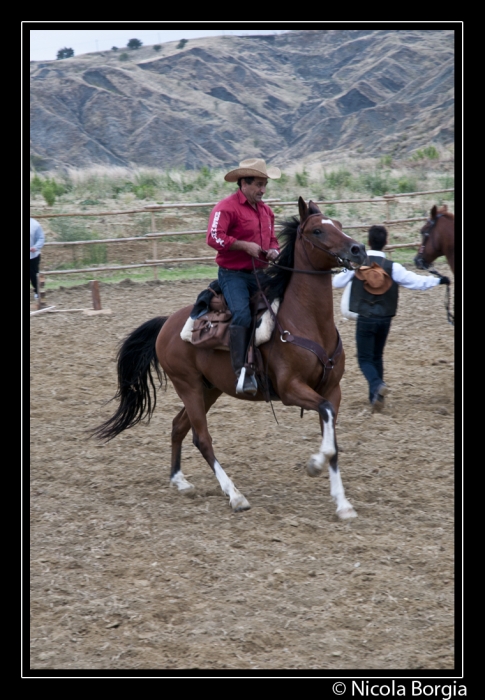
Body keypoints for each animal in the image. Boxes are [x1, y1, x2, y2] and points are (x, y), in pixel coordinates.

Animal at [93, 197, 366, 520]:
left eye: (338, 225)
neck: (306, 321)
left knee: (179, 426)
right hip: (188, 386)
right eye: (317, 231)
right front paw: (314, 464)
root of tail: (166, 323)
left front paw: (343, 503)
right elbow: (324, 418)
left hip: (209, 389)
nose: (358, 249)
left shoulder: (332, 390)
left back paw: (180, 481)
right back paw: (235, 495)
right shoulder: (290, 389)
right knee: (202, 437)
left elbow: (332, 436)